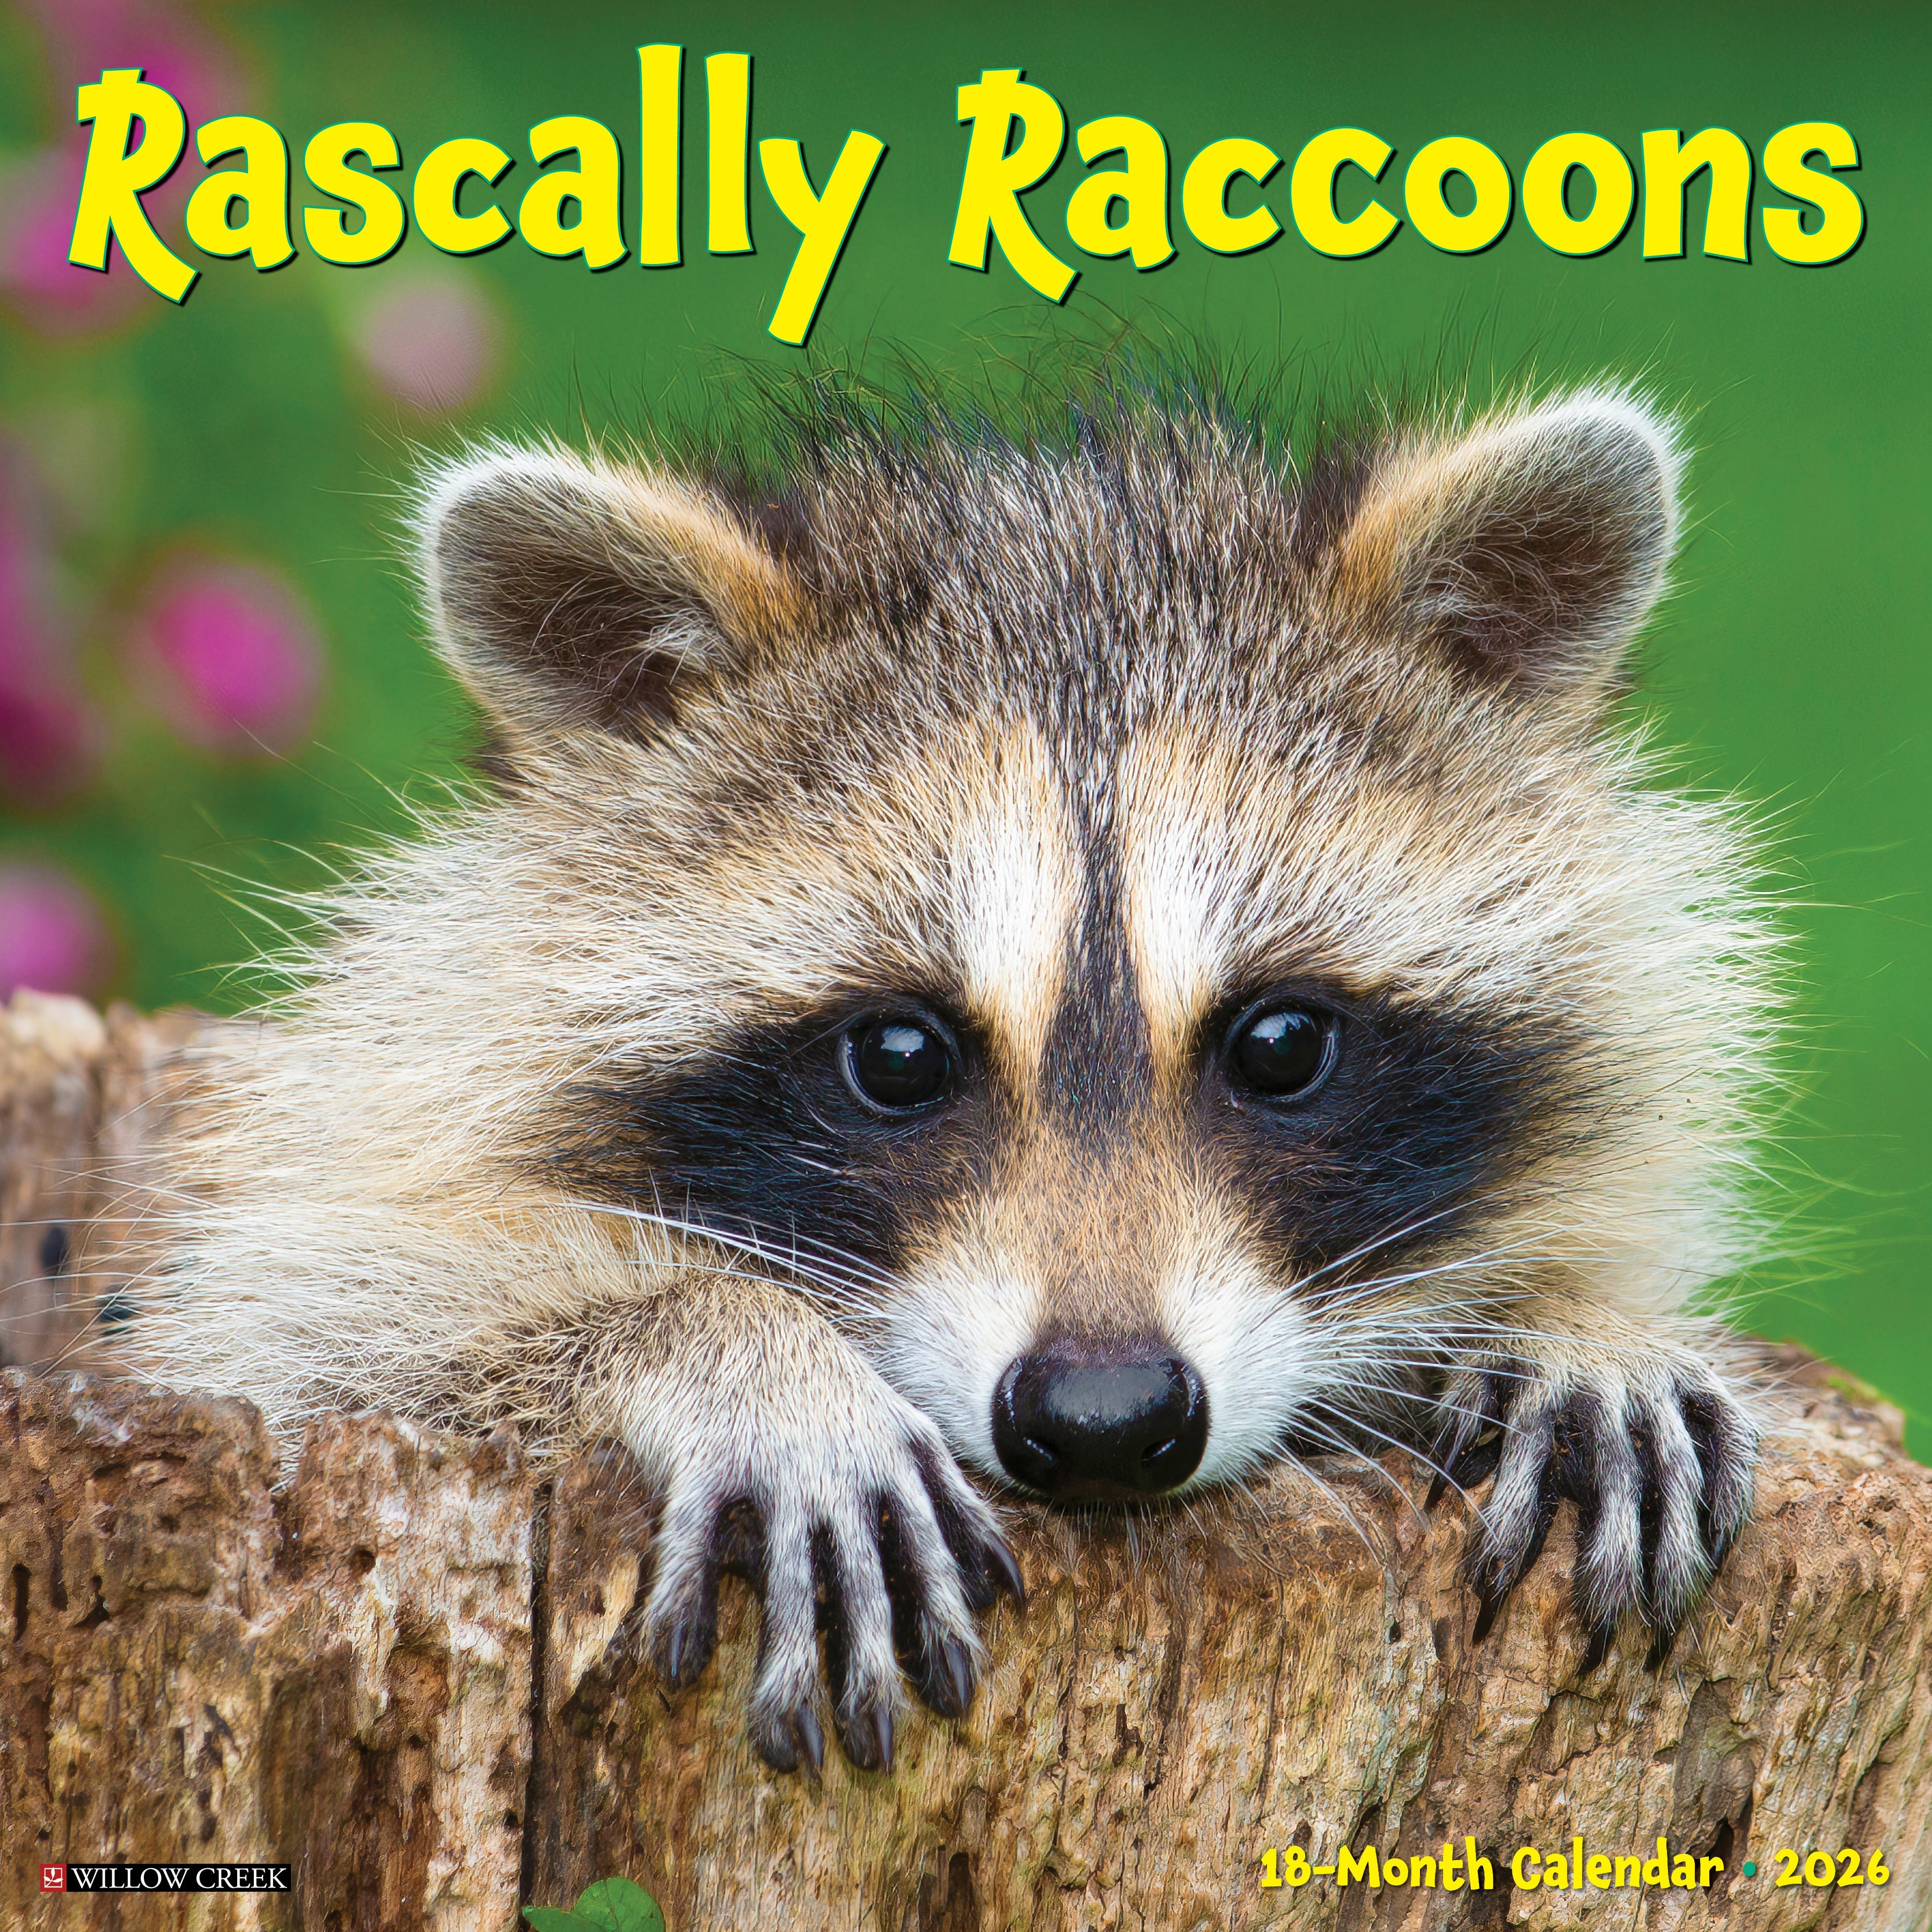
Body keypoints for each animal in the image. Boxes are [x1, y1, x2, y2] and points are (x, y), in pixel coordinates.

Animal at [129, 367, 1777, 1776]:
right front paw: (722, 1339)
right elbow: (322, 1336)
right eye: (900, 1057)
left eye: (1281, 1044)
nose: (1106, 1420)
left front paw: (1576, 1317)